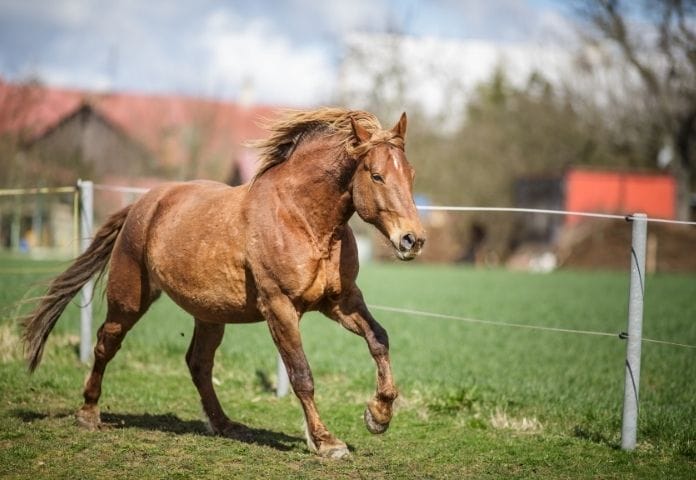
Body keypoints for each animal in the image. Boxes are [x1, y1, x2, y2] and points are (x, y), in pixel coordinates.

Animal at [23, 108, 424, 458]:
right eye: (376, 175)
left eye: (411, 175)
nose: (412, 240)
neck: (303, 219)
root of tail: (143, 204)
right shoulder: (280, 306)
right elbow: (301, 375)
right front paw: (326, 442)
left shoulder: (341, 301)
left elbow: (379, 339)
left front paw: (378, 415)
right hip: (129, 299)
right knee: (106, 344)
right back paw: (89, 413)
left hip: (210, 314)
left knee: (198, 363)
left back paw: (224, 424)